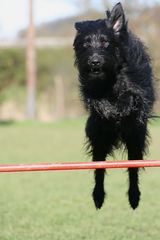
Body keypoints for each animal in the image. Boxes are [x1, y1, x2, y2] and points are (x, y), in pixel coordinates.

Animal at [73, 2, 155, 210]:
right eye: (86, 44)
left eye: (105, 43)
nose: (95, 62)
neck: (110, 76)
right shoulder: (91, 92)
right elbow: (97, 100)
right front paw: (109, 110)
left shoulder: (141, 89)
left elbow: (132, 95)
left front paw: (121, 107)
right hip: (98, 138)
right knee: (99, 168)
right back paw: (98, 196)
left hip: (136, 138)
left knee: (133, 169)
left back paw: (134, 197)